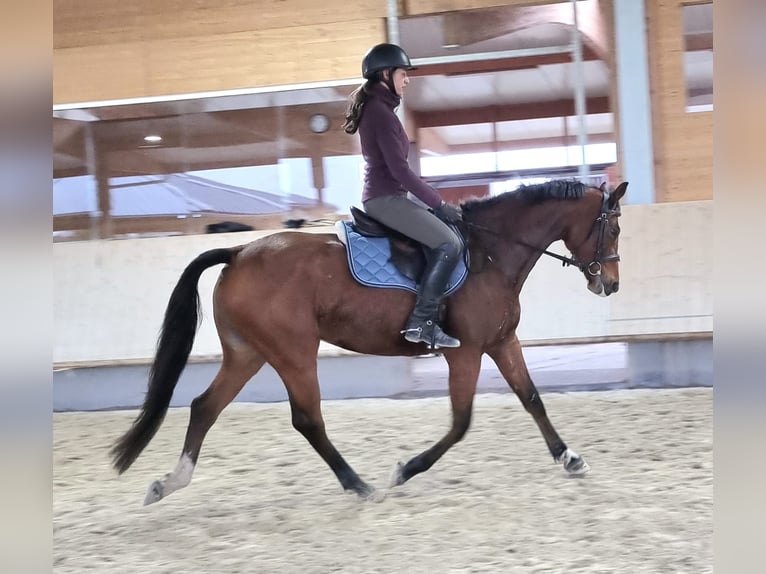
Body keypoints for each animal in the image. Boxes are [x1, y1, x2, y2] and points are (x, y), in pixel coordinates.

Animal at [110, 178, 627, 505]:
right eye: (616, 227)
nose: (611, 284)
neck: (490, 253)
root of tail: (238, 252)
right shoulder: (466, 352)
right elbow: (461, 422)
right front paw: (405, 470)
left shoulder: (502, 342)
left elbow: (532, 398)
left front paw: (570, 458)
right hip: (294, 353)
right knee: (307, 420)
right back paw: (358, 485)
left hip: (247, 353)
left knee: (205, 407)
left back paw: (169, 483)